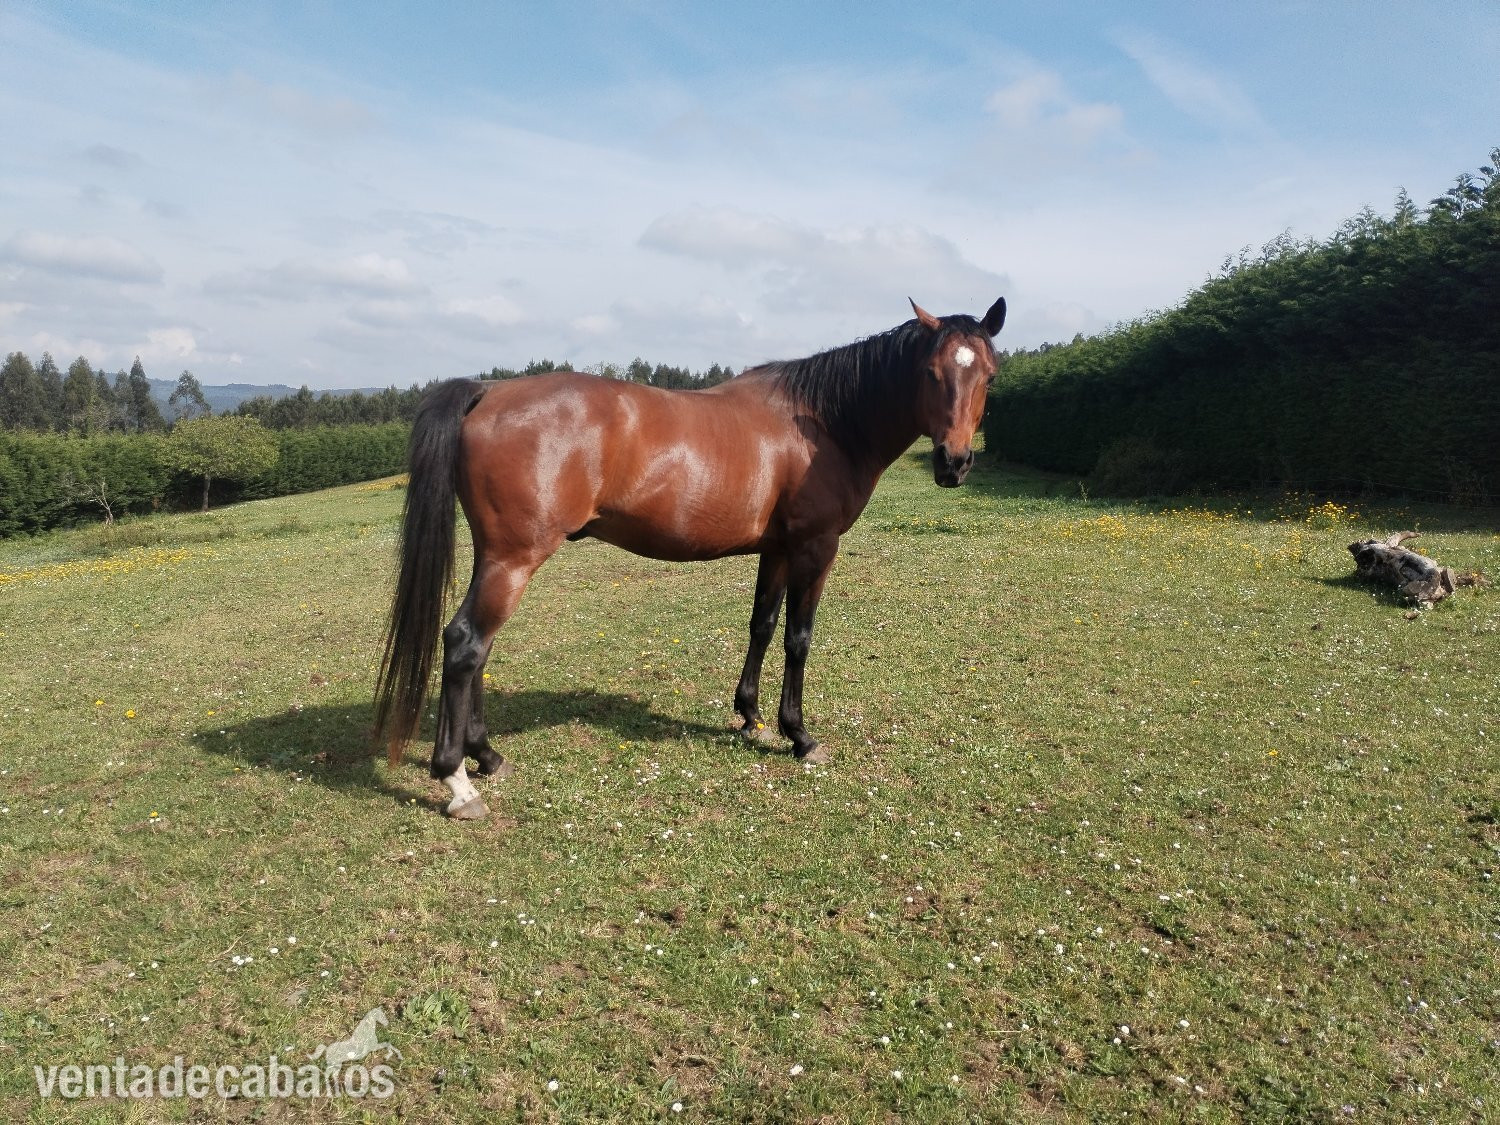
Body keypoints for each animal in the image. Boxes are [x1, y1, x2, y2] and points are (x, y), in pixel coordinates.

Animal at [375, 296, 1006, 819]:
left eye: (989, 376)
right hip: (514, 558)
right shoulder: (814, 547)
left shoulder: (777, 549)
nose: (954, 463)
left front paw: (751, 718)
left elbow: (762, 625)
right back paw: (458, 783)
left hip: (496, 557)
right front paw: (799, 736)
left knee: (478, 649)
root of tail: (489, 391)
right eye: (930, 372)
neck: (824, 424)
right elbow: (798, 638)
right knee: (465, 644)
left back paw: (487, 756)